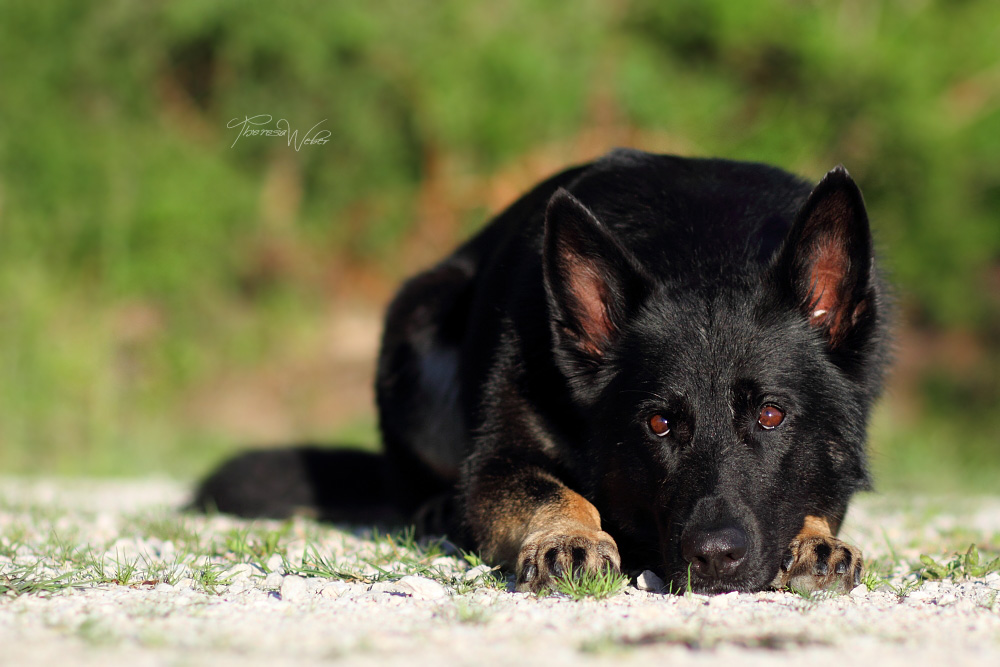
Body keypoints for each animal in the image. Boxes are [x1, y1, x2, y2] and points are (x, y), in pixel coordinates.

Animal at [195, 151, 892, 596]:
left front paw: (817, 540)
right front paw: (569, 535)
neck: (706, 250)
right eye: (659, 424)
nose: (715, 558)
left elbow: (819, 500)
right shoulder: (496, 463)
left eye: (772, 415)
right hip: (419, 321)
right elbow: (549, 490)